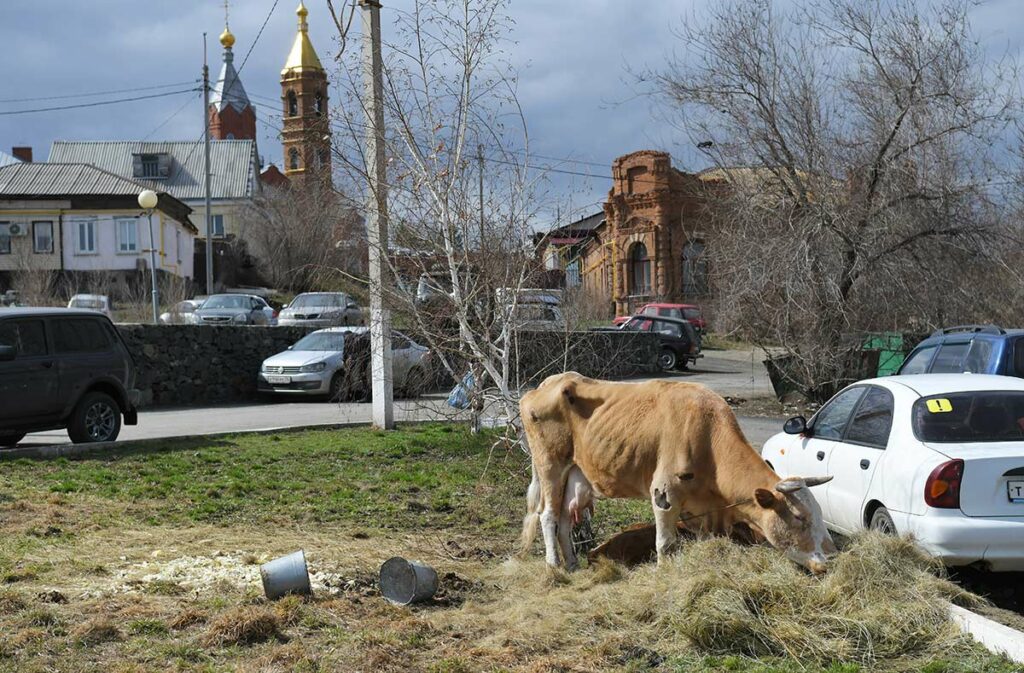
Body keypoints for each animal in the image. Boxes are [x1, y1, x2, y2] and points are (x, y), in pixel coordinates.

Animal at [516, 372, 835, 573]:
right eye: (799, 517)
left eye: (820, 513)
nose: (831, 555)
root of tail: (546, 384)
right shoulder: (664, 492)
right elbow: (665, 543)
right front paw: (663, 574)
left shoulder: (704, 512)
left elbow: (706, 541)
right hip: (549, 466)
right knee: (547, 516)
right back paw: (554, 566)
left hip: (575, 475)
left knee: (564, 519)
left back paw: (572, 565)